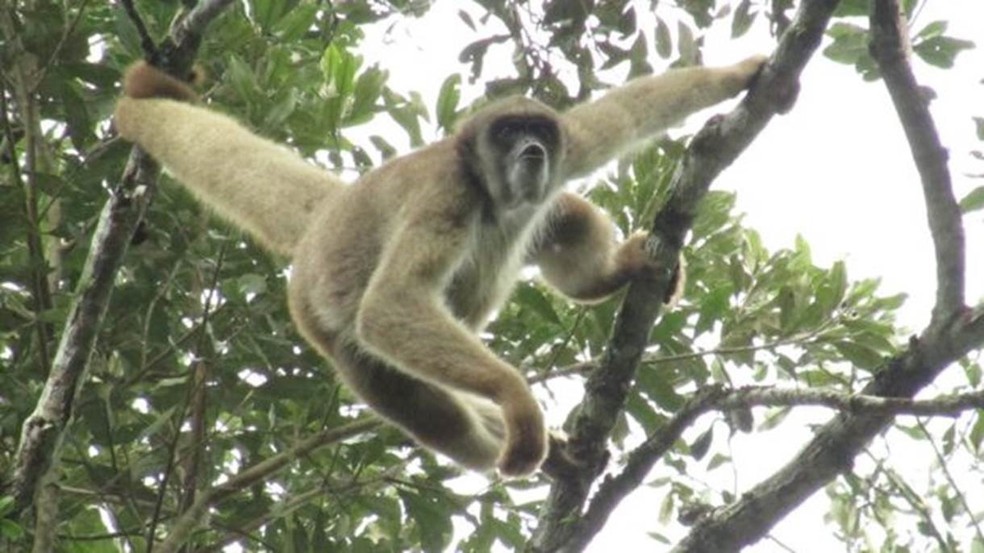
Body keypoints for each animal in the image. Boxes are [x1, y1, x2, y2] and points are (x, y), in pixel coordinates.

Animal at [115, 55, 768, 474]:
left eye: (535, 131)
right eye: (507, 134)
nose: (532, 150)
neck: (490, 192)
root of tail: (332, 210)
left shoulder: (569, 146)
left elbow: (624, 114)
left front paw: (745, 75)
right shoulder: (447, 191)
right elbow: (388, 306)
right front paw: (514, 397)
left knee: (567, 216)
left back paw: (612, 275)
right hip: (321, 318)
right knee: (418, 402)